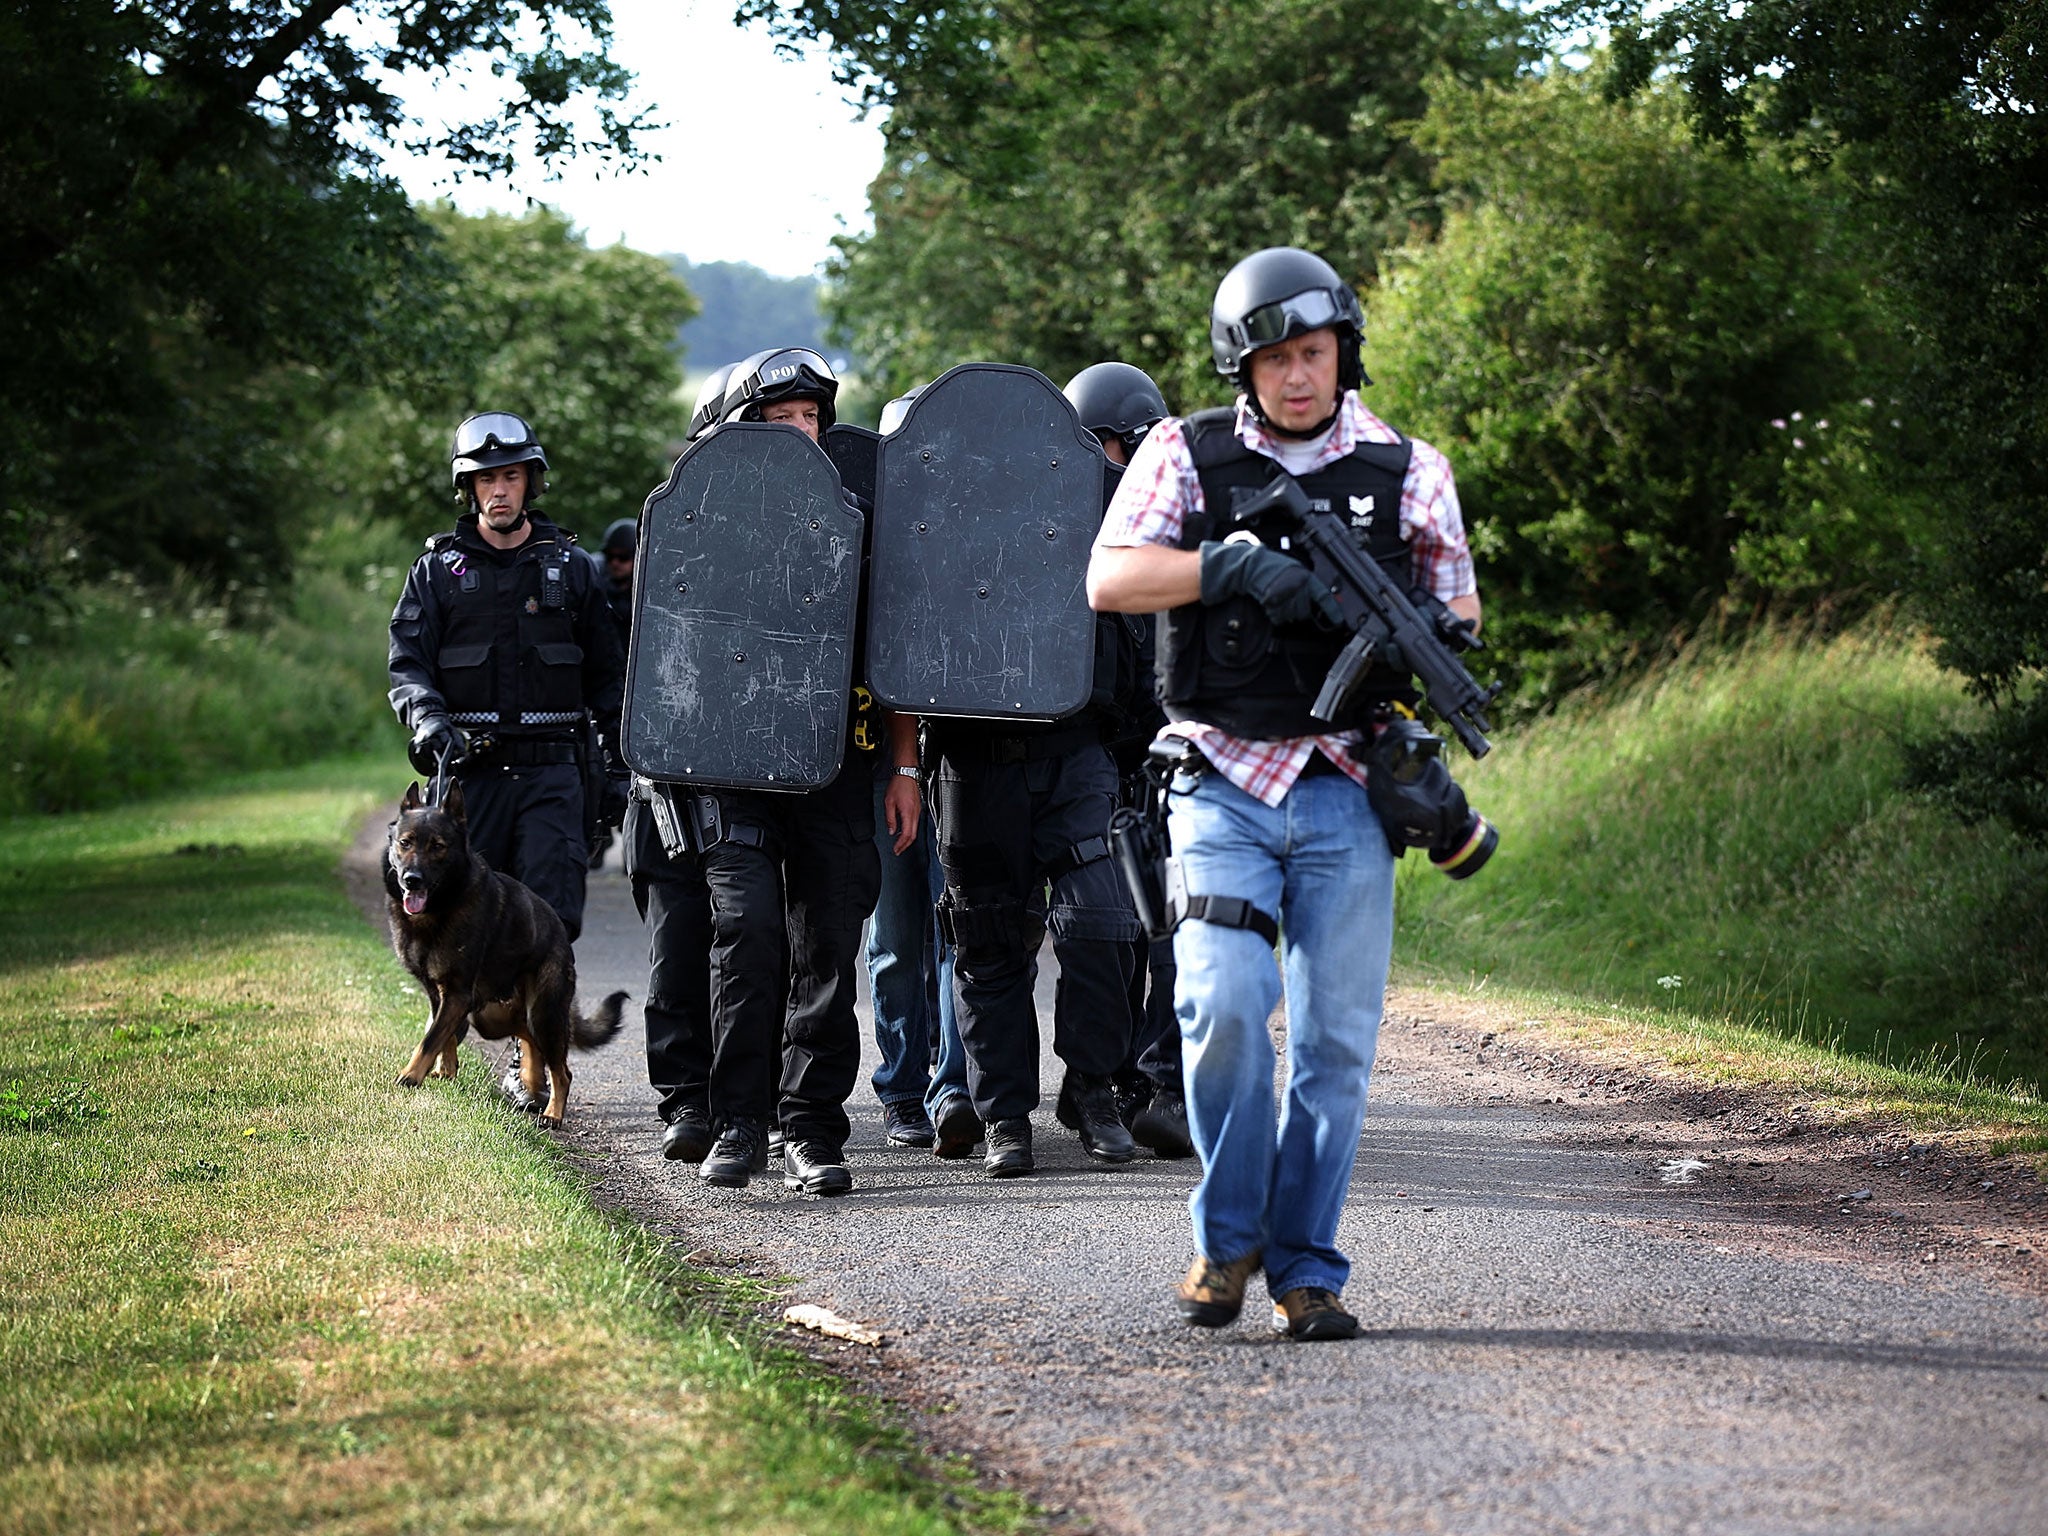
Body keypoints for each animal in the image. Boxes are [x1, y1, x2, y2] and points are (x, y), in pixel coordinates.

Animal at [382, 782, 622, 1130]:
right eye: (405, 843)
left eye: (437, 846)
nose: (411, 880)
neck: (440, 907)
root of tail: (562, 935)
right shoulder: (440, 994)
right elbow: (441, 1035)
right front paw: (445, 1070)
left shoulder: (457, 994)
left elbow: (430, 1038)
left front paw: (411, 1076)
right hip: (493, 1016)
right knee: (527, 1039)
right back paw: (531, 1084)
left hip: (544, 1014)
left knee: (562, 1070)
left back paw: (552, 1113)